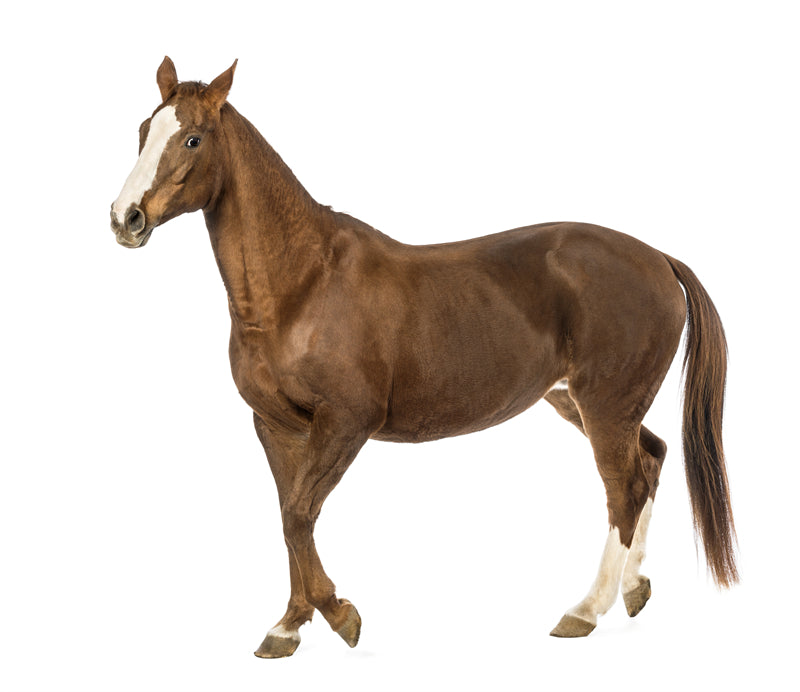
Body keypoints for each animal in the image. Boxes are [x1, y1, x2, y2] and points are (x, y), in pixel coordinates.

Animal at [110, 57, 738, 658]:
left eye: (193, 138)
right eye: (144, 130)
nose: (125, 219)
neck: (303, 284)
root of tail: (658, 258)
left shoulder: (347, 423)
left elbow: (299, 515)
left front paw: (341, 616)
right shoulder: (276, 427)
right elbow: (290, 519)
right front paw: (288, 627)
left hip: (605, 408)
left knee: (623, 489)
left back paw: (584, 611)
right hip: (585, 405)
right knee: (651, 461)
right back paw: (634, 589)